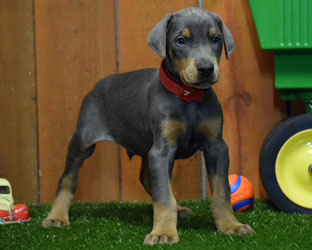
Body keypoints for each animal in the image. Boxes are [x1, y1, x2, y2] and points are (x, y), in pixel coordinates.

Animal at [42, 7, 255, 246]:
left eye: (216, 39)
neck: (189, 98)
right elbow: (164, 195)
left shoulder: (216, 147)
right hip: (83, 140)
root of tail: (97, 85)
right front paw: (163, 232)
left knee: (148, 179)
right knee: (67, 177)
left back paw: (180, 210)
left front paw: (230, 225)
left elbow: (222, 191)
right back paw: (57, 216)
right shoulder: (161, 150)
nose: (206, 68)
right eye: (181, 40)